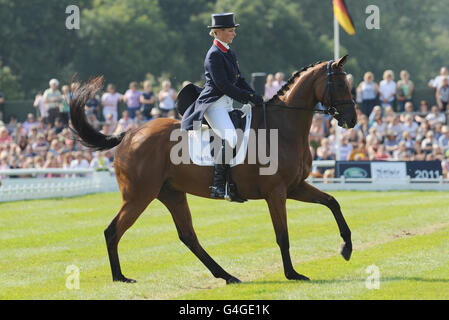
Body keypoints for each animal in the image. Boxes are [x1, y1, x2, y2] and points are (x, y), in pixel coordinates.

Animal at [69, 54, 356, 282]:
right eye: (340, 84)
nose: (352, 120)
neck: (282, 128)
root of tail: (129, 134)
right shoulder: (276, 192)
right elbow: (282, 234)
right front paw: (292, 274)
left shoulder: (295, 186)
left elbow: (332, 202)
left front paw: (346, 248)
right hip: (139, 196)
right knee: (113, 231)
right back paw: (120, 278)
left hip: (171, 193)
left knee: (188, 236)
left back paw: (226, 275)